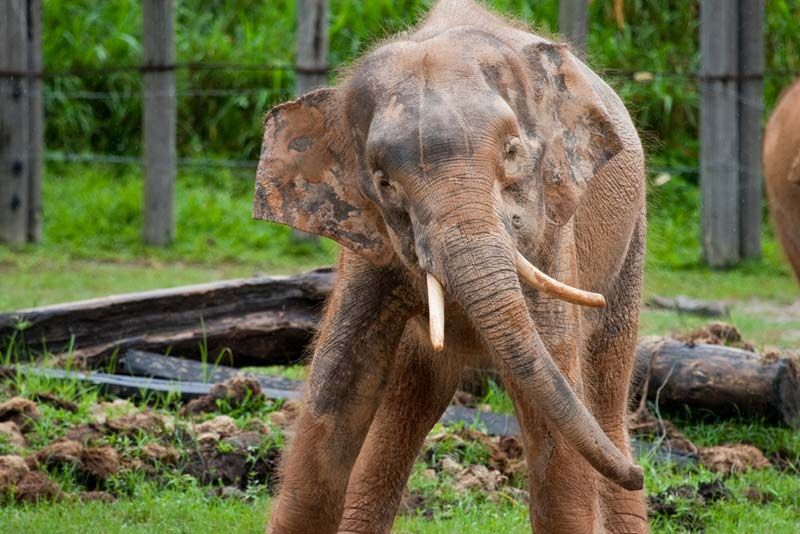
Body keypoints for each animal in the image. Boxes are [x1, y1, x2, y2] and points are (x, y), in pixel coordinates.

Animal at [253, 2, 648, 532]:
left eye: (512, 152)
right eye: (384, 182)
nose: (640, 474)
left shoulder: (549, 231)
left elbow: (553, 390)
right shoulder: (367, 246)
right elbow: (338, 384)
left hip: (632, 242)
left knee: (604, 392)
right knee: (406, 402)